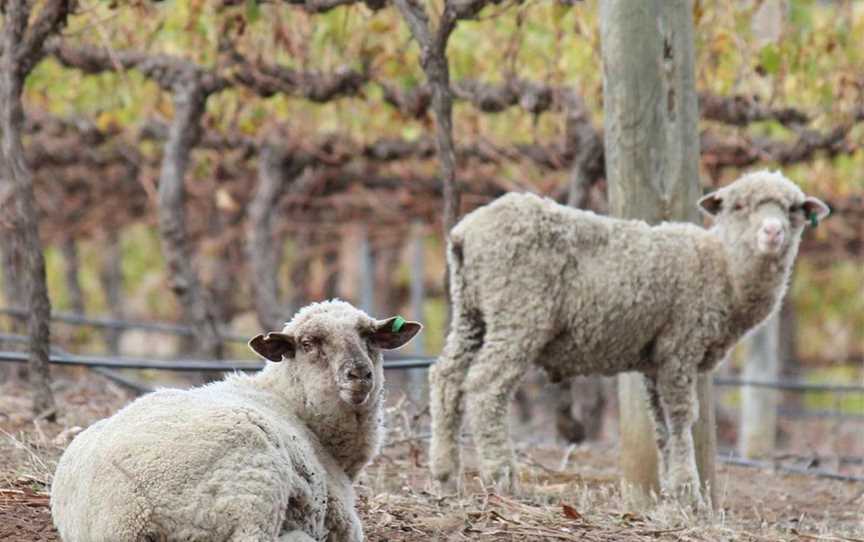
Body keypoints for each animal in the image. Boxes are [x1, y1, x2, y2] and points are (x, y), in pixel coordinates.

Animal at [50, 302, 422, 542]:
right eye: (308, 343)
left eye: (369, 336)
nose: (359, 374)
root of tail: (130, 513)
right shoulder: (345, 526)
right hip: (252, 492)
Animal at [432, 170, 832, 506]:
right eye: (738, 206)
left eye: (794, 210)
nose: (772, 232)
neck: (724, 270)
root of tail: (465, 232)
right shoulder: (680, 344)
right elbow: (681, 418)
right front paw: (690, 496)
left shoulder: (655, 360)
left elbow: (661, 425)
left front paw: (672, 491)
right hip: (518, 310)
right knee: (486, 386)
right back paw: (503, 479)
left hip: (471, 312)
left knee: (446, 377)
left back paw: (445, 476)